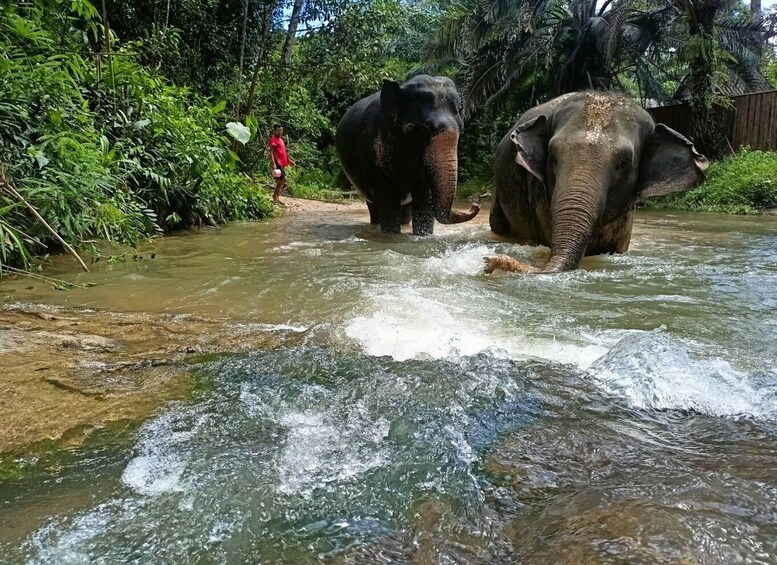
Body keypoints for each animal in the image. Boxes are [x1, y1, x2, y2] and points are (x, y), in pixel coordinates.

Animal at [334, 74, 478, 234]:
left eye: (461, 129)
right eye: (423, 129)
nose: (474, 205)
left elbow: (423, 199)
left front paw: (422, 236)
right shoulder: (375, 153)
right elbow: (388, 198)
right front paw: (392, 235)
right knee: (374, 205)